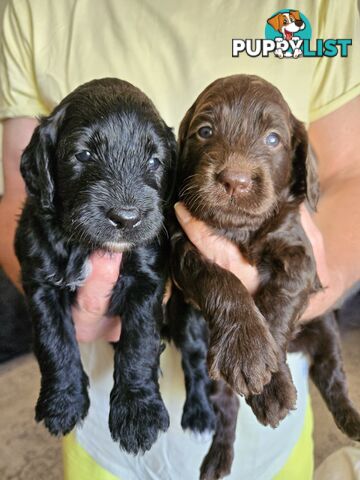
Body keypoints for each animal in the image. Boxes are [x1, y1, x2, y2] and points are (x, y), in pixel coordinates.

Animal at [15, 78, 177, 454]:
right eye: (84, 155)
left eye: (155, 160)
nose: (126, 218)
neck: (87, 246)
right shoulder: (41, 281)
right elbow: (54, 339)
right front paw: (62, 403)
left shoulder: (147, 281)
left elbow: (139, 343)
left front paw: (138, 414)